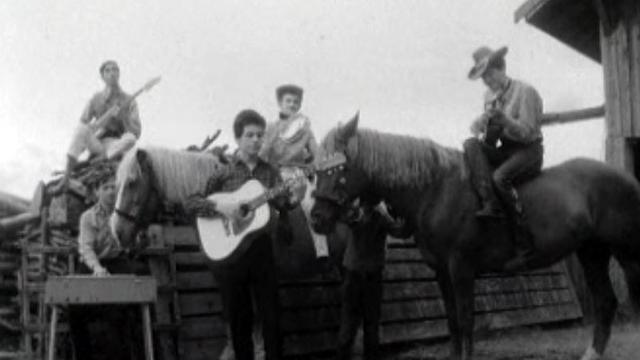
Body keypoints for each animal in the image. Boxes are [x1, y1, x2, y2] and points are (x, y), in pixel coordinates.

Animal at [310, 114, 640, 360]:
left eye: (340, 168)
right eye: (316, 170)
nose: (316, 218)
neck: (435, 190)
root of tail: (628, 179)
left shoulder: (461, 269)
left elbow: (466, 320)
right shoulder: (442, 272)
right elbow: (453, 322)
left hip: (626, 253)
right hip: (592, 252)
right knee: (605, 302)